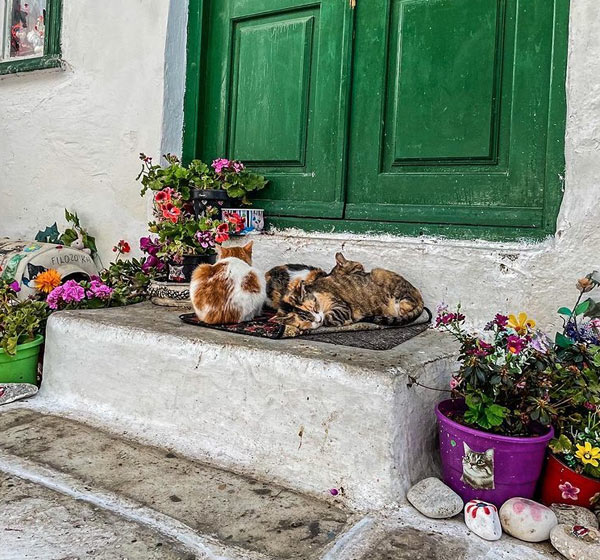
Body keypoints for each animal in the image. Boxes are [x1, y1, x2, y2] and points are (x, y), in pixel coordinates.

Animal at [276, 255, 422, 332]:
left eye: (315, 308)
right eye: (306, 319)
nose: (318, 319)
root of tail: (418, 293)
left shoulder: (341, 306)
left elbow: (330, 318)